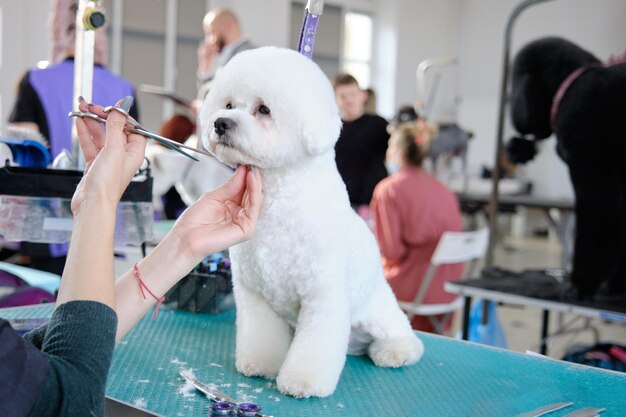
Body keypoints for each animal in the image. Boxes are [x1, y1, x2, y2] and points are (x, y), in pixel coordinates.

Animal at [200, 45, 424, 396]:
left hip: (378, 313)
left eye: (264, 109)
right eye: (228, 104)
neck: (278, 204)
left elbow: (314, 347)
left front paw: (302, 382)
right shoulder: (254, 293)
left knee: (406, 336)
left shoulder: (323, 293)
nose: (221, 123)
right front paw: (260, 364)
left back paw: (394, 351)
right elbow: (261, 335)